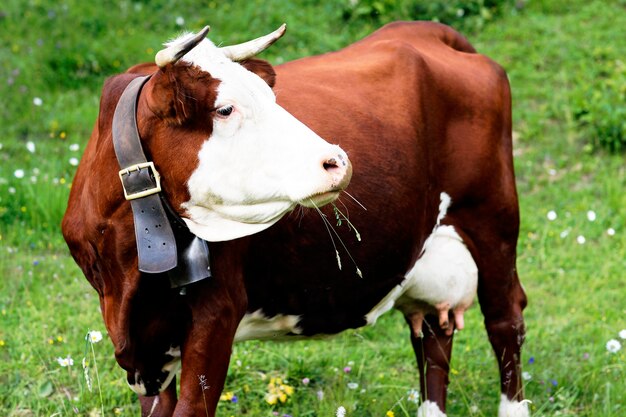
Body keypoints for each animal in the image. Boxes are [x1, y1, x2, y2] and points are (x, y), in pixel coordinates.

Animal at [62, 22, 528, 416]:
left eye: (271, 97)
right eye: (225, 109)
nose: (337, 161)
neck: (129, 275)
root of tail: (426, 31)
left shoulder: (217, 313)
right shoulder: (144, 346)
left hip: (494, 219)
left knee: (505, 319)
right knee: (433, 333)